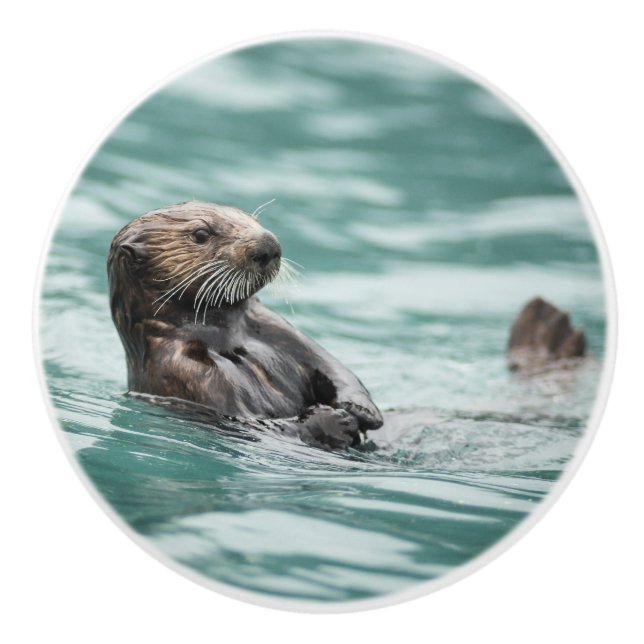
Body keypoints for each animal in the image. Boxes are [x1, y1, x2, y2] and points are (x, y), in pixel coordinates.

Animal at [107, 200, 383, 451]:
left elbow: (332, 367)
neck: (227, 337)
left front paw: (361, 409)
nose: (268, 244)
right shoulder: (186, 372)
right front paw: (336, 420)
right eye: (201, 234)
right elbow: (255, 424)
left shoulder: (277, 329)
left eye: (252, 219)